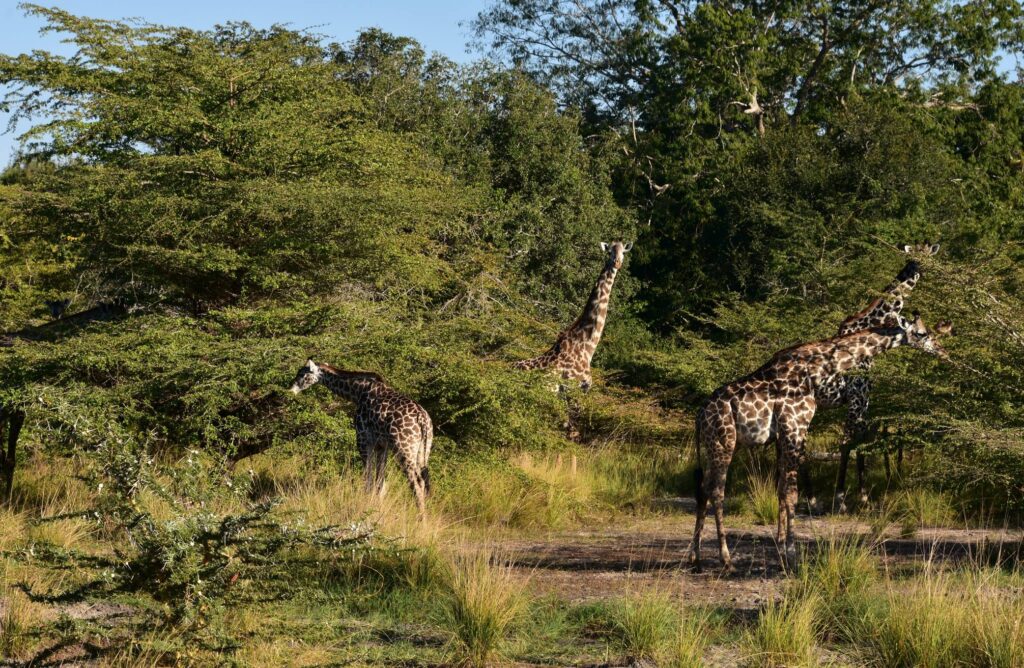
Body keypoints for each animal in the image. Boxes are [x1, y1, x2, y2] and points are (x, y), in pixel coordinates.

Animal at [289, 360, 432, 513]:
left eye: (302, 374)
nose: (291, 389)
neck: (357, 392)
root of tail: (422, 419)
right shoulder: (382, 445)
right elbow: (380, 483)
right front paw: (377, 509)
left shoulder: (363, 439)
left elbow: (368, 479)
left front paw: (366, 507)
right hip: (422, 450)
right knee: (423, 481)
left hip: (404, 450)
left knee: (416, 483)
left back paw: (421, 517)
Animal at [689, 314, 950, 571]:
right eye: (921, 333)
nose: (942, 351)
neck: (814, 369)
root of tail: (700, 414)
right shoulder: (794, 427)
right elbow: (792, 494)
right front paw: (792, 556)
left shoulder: (787, 434)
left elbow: (782, 491)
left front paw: (783, 549)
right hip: (724, 442)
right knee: (717, 491)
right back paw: (726, 560)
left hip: (712, 445)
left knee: (703, 488)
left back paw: (696, 557)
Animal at [801, 243, 941, 512]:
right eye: (916, 258)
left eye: (927, 254)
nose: (927, 268)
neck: (870, 321)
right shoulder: (858, 394)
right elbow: (849, 442)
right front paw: (843, 499)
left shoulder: (862, 398)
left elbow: (860, 442)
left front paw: (862, 496)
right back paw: (812, 500)